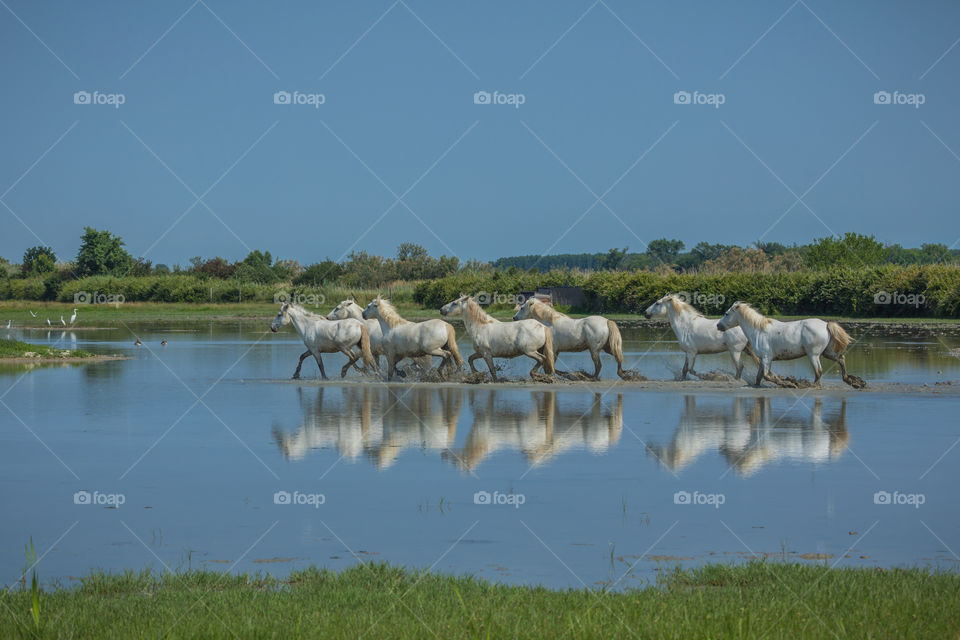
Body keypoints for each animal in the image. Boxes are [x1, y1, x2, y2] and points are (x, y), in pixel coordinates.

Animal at [716, 302, 865, 389]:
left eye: (726, 313)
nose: (718, 325)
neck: (759, 330)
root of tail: (826, 325)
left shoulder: (766, 358)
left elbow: (767, 376)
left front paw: (788, 383)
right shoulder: (765, 359)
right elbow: (759, 377)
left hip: (813, 354)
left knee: (819, 371)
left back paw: (812, 386)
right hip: (826, 353)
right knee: (841, 359)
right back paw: (852, 381)